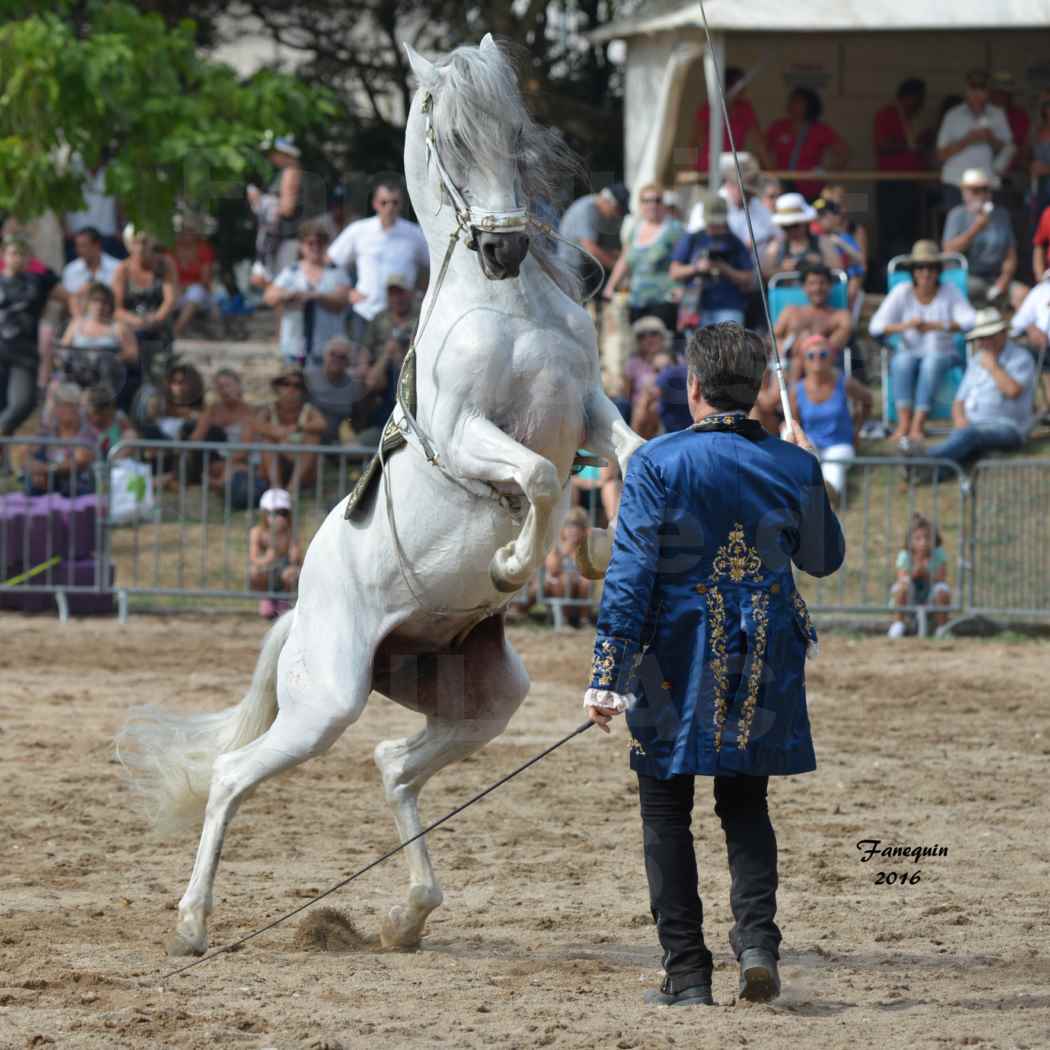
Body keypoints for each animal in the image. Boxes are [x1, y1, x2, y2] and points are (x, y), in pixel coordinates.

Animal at [114, 37, 638, 961]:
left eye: (512, 133)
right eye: (449, 140)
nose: (503, 251)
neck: (505, 306)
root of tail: (298, 609)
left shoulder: (590, 410)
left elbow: (634, 452)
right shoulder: (467, 430)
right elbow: (538, 481)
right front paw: (512, 563)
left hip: (483, 701)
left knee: (392, 762)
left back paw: (409, 914)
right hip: (325, 703)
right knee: (233, 775)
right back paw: (192, 925)